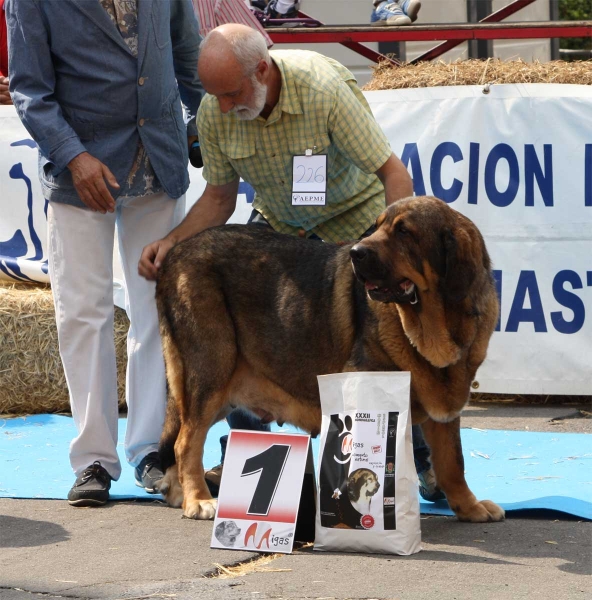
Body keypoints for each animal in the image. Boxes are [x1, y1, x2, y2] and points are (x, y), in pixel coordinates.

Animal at [154, 195, 504, 524]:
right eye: (378, 227)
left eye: (404, 232)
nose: (356, 253)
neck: (433, 325)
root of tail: (175, 253)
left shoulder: (443, 406)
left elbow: (452, 462)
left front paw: (470, 507)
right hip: (212, 371)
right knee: (187, 441)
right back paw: (198, 499)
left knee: (180, 435)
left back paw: (178, 493)